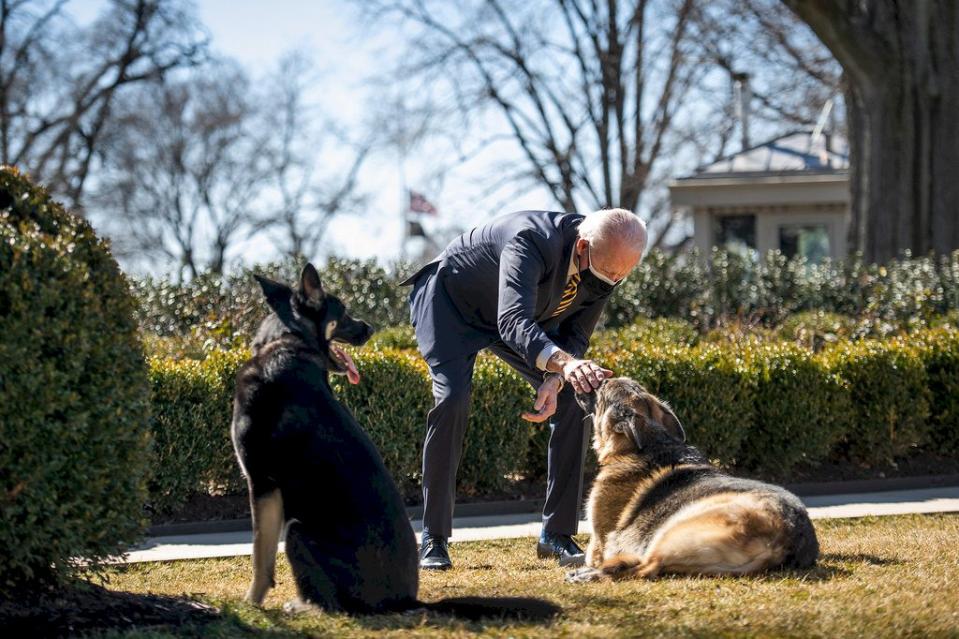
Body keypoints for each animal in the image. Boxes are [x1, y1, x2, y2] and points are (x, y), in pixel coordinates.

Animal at [233, 264, 564, 620]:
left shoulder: (261, 483)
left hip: (298, 531)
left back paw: (303, 607)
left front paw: (250, 603)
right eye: (343, 311)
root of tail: (407, 600)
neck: (287, 341)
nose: (370, 328)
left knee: (336, 605)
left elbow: (260, 557)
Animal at [568, 378, 820, 584]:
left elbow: (594, 554)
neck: (650, 442)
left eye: (602, 386)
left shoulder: (598, 542)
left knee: (646, 568)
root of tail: (786, 539)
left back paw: (590, 575)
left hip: (672, 531)